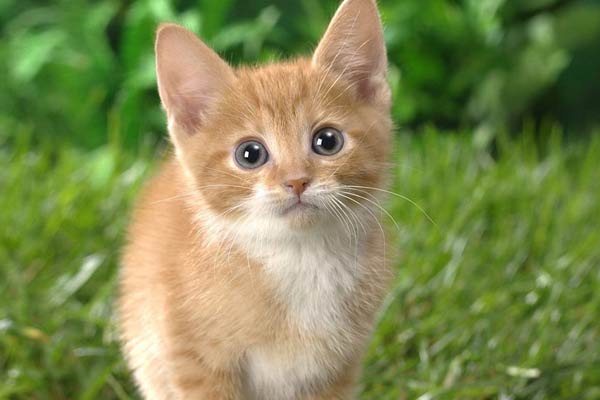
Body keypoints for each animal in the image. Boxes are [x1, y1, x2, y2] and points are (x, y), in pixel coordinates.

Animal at [119, 0, 393, 399]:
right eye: (250, 154)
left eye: (328, 141)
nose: (297, 181)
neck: (299, 257)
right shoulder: (194, 361)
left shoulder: (337, 368)